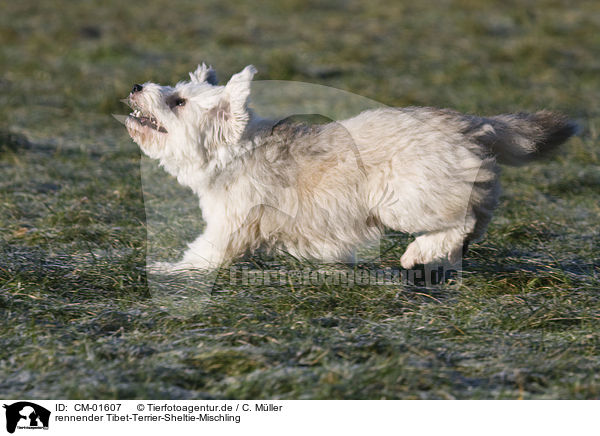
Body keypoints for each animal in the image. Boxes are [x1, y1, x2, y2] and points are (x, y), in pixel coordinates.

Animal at [125, 63, 576, 270]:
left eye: (178, 101)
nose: (136, 86)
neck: (234, 152)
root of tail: (469, 121)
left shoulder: (228, 229)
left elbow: (200, 257)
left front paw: (167, 269)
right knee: (476, 219)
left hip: (407, 200)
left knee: (461, 220)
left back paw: (417, 253)